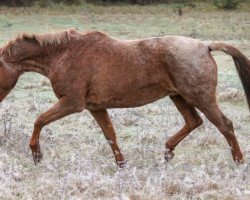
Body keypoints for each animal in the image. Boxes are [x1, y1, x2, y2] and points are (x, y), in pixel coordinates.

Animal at [0, 28, 249, 168]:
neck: (64, 54)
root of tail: (205, 46)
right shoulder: (95, 107)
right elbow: (110, 135)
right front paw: (121, 165)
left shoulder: (71, 103)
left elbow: (39, 120)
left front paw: (37, 155)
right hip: (179, 97)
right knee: (193, 121)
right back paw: (167, 152)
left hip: (200, 97)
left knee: (225, 125)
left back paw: (238, 162)